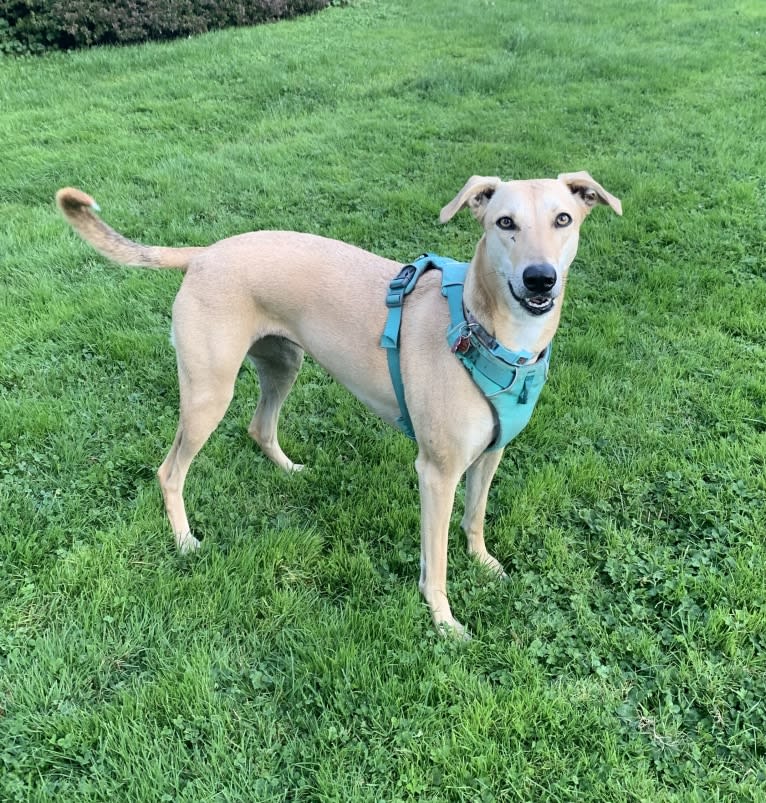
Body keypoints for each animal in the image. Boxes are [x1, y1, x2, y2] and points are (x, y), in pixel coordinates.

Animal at [55, 173, 624, 636]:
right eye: (505, 222)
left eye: (563, 219)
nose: (540, 278)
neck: (485, 330)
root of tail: (205, 252)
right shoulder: (437, 472)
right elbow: (436, 562)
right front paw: (444, 621)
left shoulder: (489, 453)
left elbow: (476, 518)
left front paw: (483, 563)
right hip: (207, 394)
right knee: (170, 471)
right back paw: (184, 540)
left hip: (283, 364)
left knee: (259, 428)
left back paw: (287, 469)